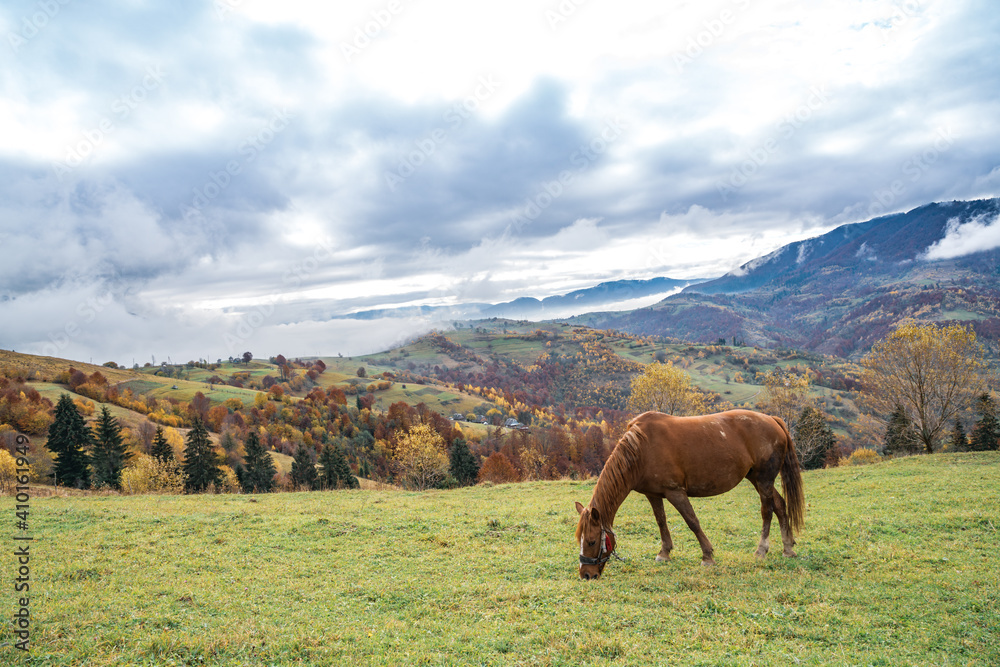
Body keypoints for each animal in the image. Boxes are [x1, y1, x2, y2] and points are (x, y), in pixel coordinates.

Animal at [576, 408, 800, 580]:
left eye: (592, 541)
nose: (586, 574)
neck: (642, 449)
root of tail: (772, 419)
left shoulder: (675, 492)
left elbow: (692, 521)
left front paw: (707, 556)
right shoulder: (653, 494)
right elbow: (661, 521)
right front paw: (664, 553)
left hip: (764, 480)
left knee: (767, 511)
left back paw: (761, 550)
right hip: (757, 479)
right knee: (780, 506)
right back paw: (788, 549)